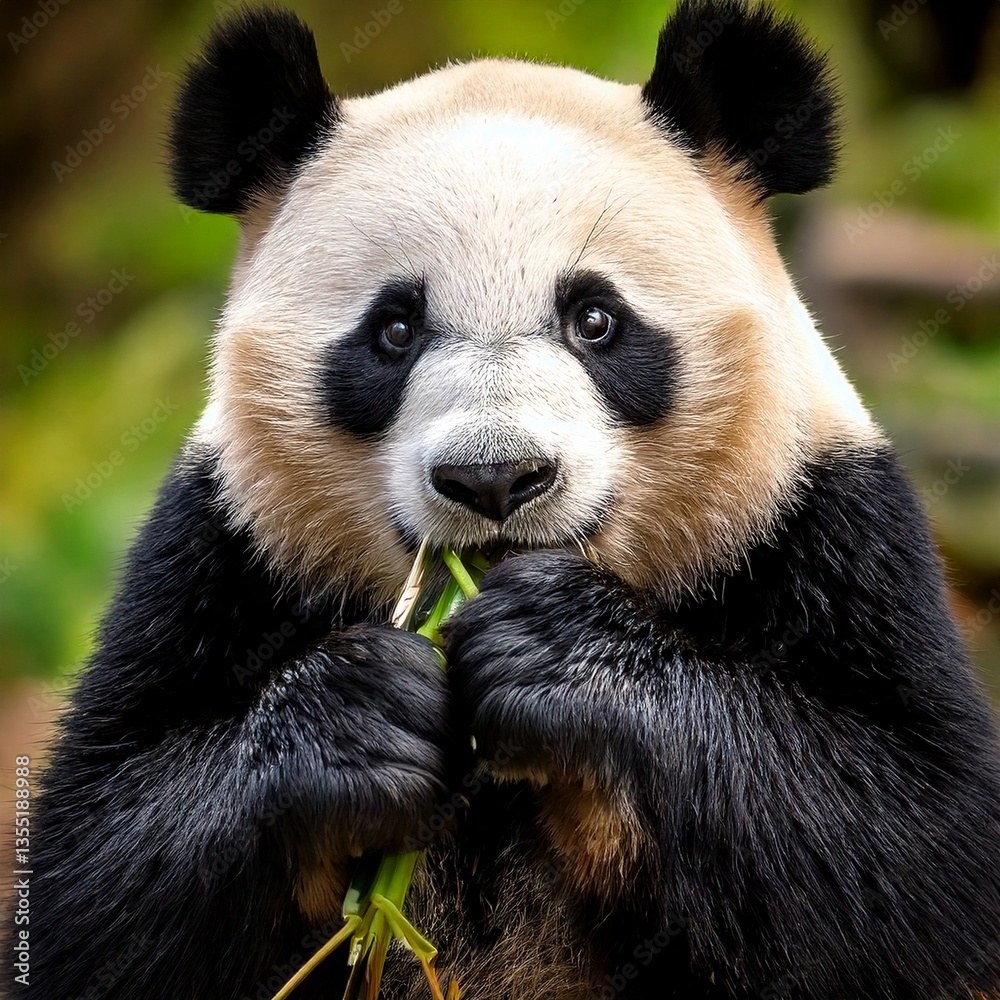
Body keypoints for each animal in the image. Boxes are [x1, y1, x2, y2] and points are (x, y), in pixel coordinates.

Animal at [15, 1, 1000, 998]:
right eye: (394, 330)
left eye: (595, 319)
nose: (495, 479)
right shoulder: (224, 550)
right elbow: (100, 866)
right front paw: (365, 714)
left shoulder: (821, 525)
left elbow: (910, 840)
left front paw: (557, 651)